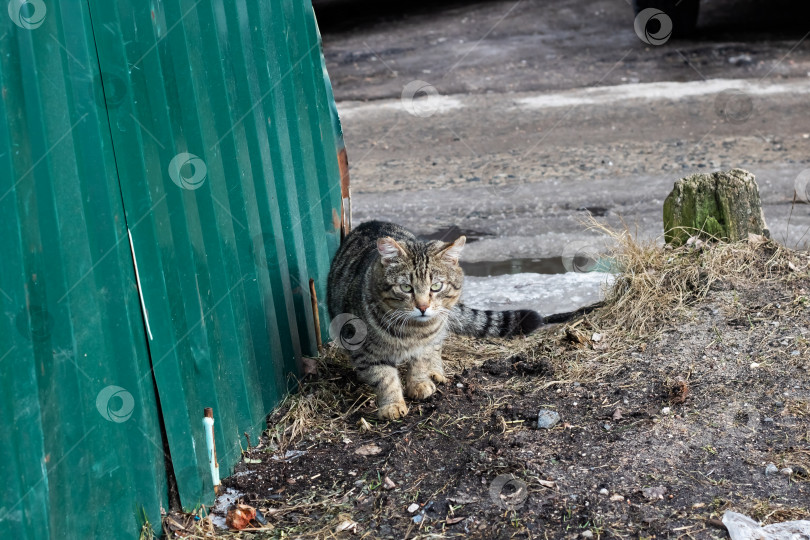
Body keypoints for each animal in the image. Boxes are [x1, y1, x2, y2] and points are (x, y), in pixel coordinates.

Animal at [326, 221, 540, 420]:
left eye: (436, 286)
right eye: (406, 287)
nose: (422, 307)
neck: (413, 330)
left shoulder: (425, 342)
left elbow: (421, 361)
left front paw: (419, 383)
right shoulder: (365, 351)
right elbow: (385, 378)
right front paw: (392, 404)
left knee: (436, 347)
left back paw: (435, 372)